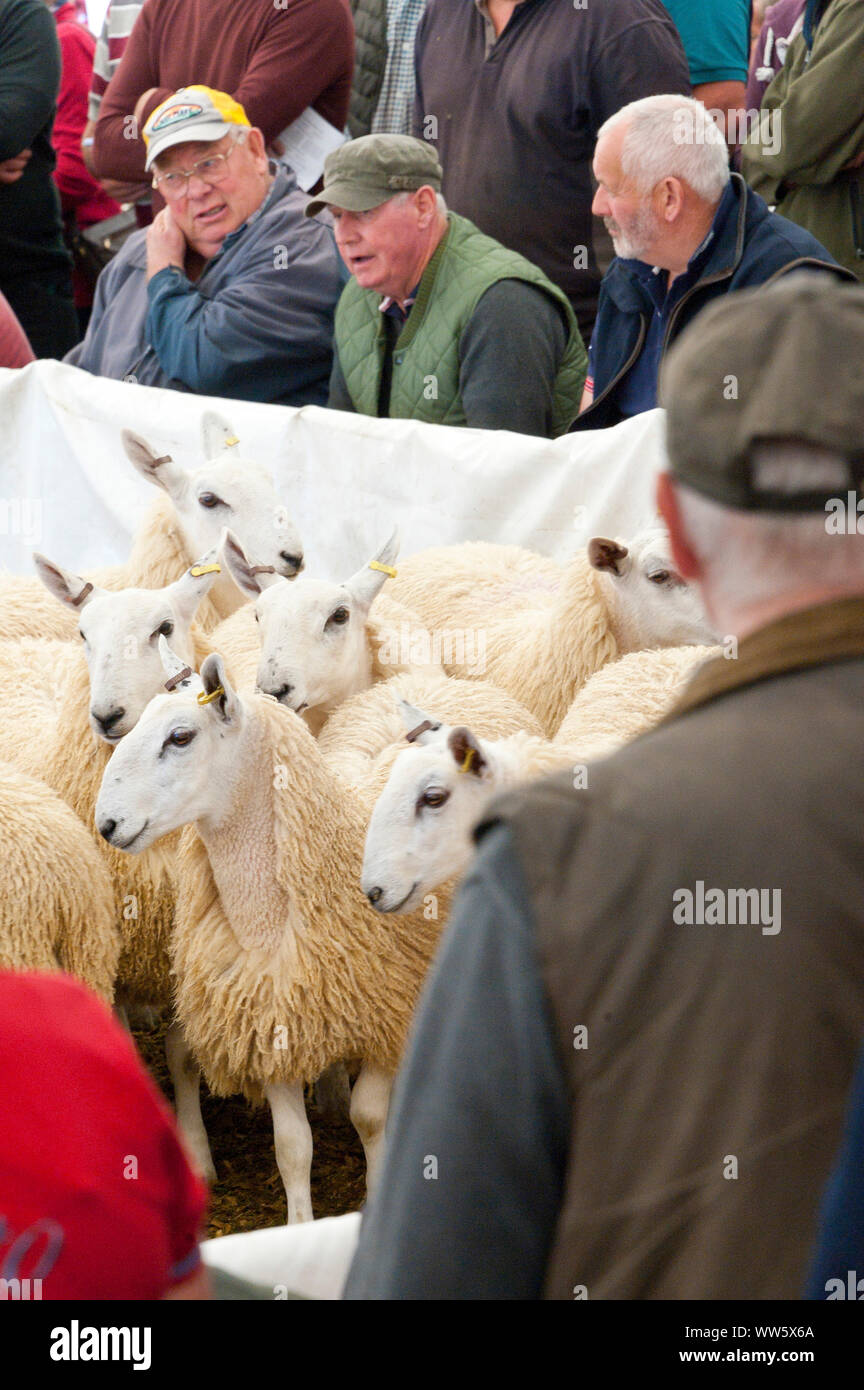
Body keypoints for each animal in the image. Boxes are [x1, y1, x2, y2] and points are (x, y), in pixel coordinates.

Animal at [95, 644, 454, 1222]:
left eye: (181, 737)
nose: (105, 823)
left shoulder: (389, 1014)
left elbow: (370, 1116)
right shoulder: (272, 1018)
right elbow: (292, 1146)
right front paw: (298, 1223)